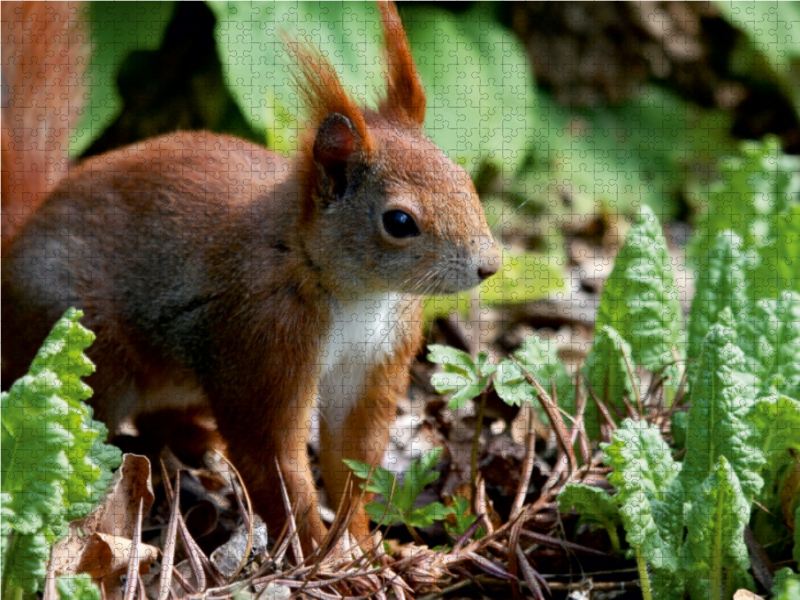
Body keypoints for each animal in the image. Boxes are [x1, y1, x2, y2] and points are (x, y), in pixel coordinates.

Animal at [1, 2, 500, 552]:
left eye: (465, 179)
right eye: (399, 222)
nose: (490, 265)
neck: (357, 295)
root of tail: (19, 235)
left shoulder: (378, 357)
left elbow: (352, 460)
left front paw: (365, 545)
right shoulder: (263, 338)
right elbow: (275, 462)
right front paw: (321, 555)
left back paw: (200, 442)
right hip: (87, 358)